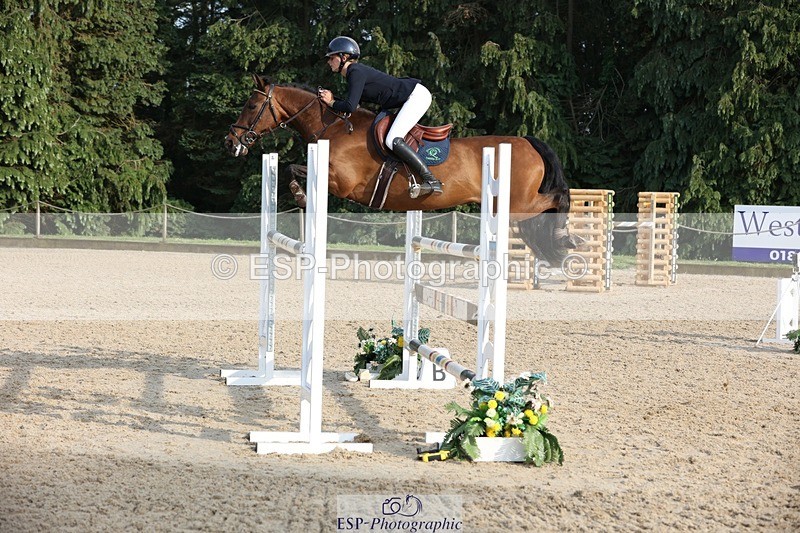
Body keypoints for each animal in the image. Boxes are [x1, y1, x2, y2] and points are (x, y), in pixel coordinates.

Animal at [224, 74, 578, 264]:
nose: (231, 142)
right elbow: (289, 168)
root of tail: (528, 141)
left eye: (251, 106)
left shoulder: (341, 182)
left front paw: (299, 195)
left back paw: (567, 238)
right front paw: (300, 196)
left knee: (557, 198)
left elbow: (294, 169)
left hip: (518, 202)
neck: (334, 128)